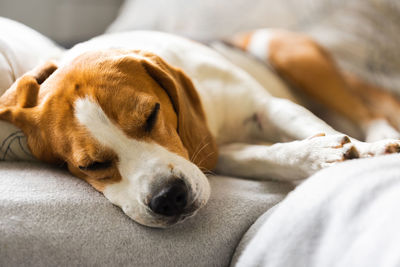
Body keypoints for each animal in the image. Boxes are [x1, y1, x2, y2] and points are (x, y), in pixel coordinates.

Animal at [0, 30, 400, 228]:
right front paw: (314, 156)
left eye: (151, 115)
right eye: (90, 166)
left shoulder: (268, 107)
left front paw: (358, 151)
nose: (169, 198)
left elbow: (314, 126)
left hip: (287, 52)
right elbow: (272, 155)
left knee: (366, 110)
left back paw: (380, 136)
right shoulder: (223, 154)